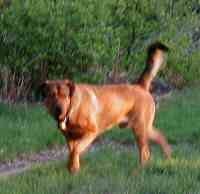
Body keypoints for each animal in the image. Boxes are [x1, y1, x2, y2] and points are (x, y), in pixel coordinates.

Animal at [41, 42, 170, 173]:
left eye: (65, 95)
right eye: (52, 95)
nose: (59, 109)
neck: (71, 109)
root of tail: (140, 86)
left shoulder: (91, 132)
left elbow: (76, 149)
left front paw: (73, 167)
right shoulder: (69, 137)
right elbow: (72, 152)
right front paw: (73, 168)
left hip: (140, 128)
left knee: (145, 152)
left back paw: (139, 170)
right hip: (145, 128)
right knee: (160, 137)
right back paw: (167, 156)